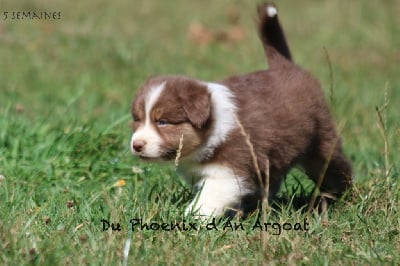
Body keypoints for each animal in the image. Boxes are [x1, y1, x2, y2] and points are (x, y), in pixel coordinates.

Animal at [130, 3, 352, 217]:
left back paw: (341, 198)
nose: (136, 145)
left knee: (336, 170)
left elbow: (208, 198)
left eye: (163, 122)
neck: (213, 127)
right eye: (137, 119)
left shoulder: (230, 170)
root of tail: (285, 66)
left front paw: (190, 218)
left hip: (320, 143)